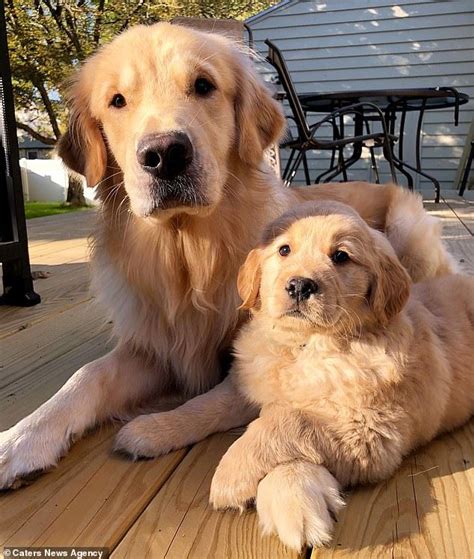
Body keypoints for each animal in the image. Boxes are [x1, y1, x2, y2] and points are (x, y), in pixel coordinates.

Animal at [0, 21, 456, 488]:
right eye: (117, 100)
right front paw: (21, 439)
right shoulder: (157, 346)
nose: (164, 154)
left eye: (204, 85)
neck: (191, 256)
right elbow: (86, 375)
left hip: (409, 234)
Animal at [211, 202, 474, 552]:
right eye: (284, 250)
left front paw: (229, 474)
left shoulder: (370, 435)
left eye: (341, 256)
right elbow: (244, 408)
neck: (308, 345)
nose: (299, 285)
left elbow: (289, 419)